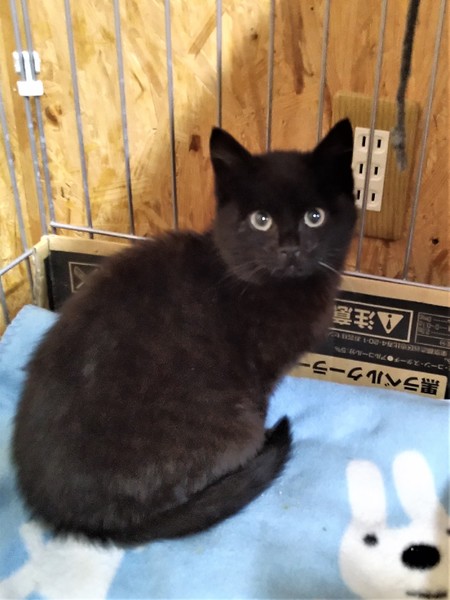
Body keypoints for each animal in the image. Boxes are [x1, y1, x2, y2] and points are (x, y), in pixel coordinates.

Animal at [12, 119, 356, 546]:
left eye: (315, 217)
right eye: (261, 220)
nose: (290, 249)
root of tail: (91, 525)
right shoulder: (258, 377)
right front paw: (263, 445)